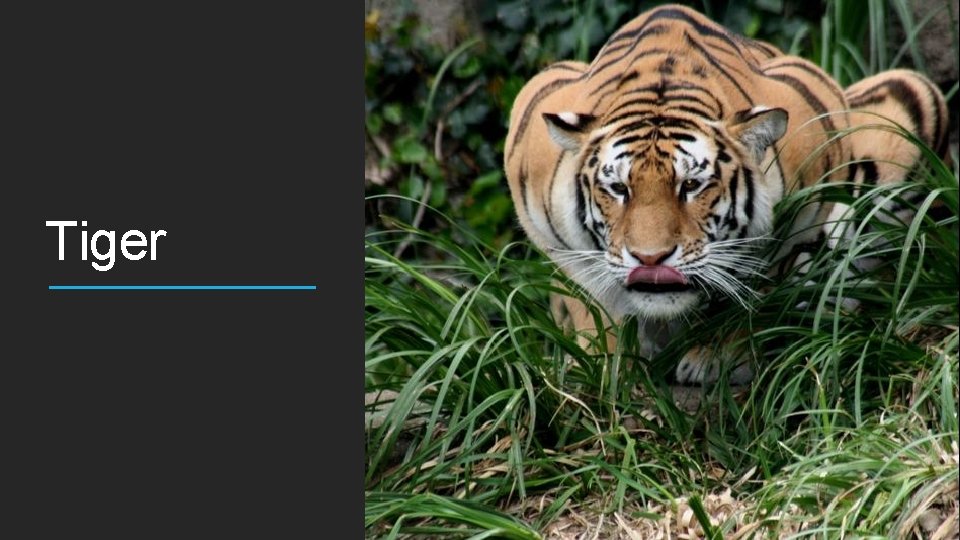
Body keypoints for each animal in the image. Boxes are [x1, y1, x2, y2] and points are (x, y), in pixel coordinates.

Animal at [503, 4, 949, 384]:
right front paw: (602, 363)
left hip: (909, 100)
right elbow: (590, 298)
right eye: (618, 189)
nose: (650, 260)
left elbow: (759, 285)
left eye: (691, 186)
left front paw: (718, 357)